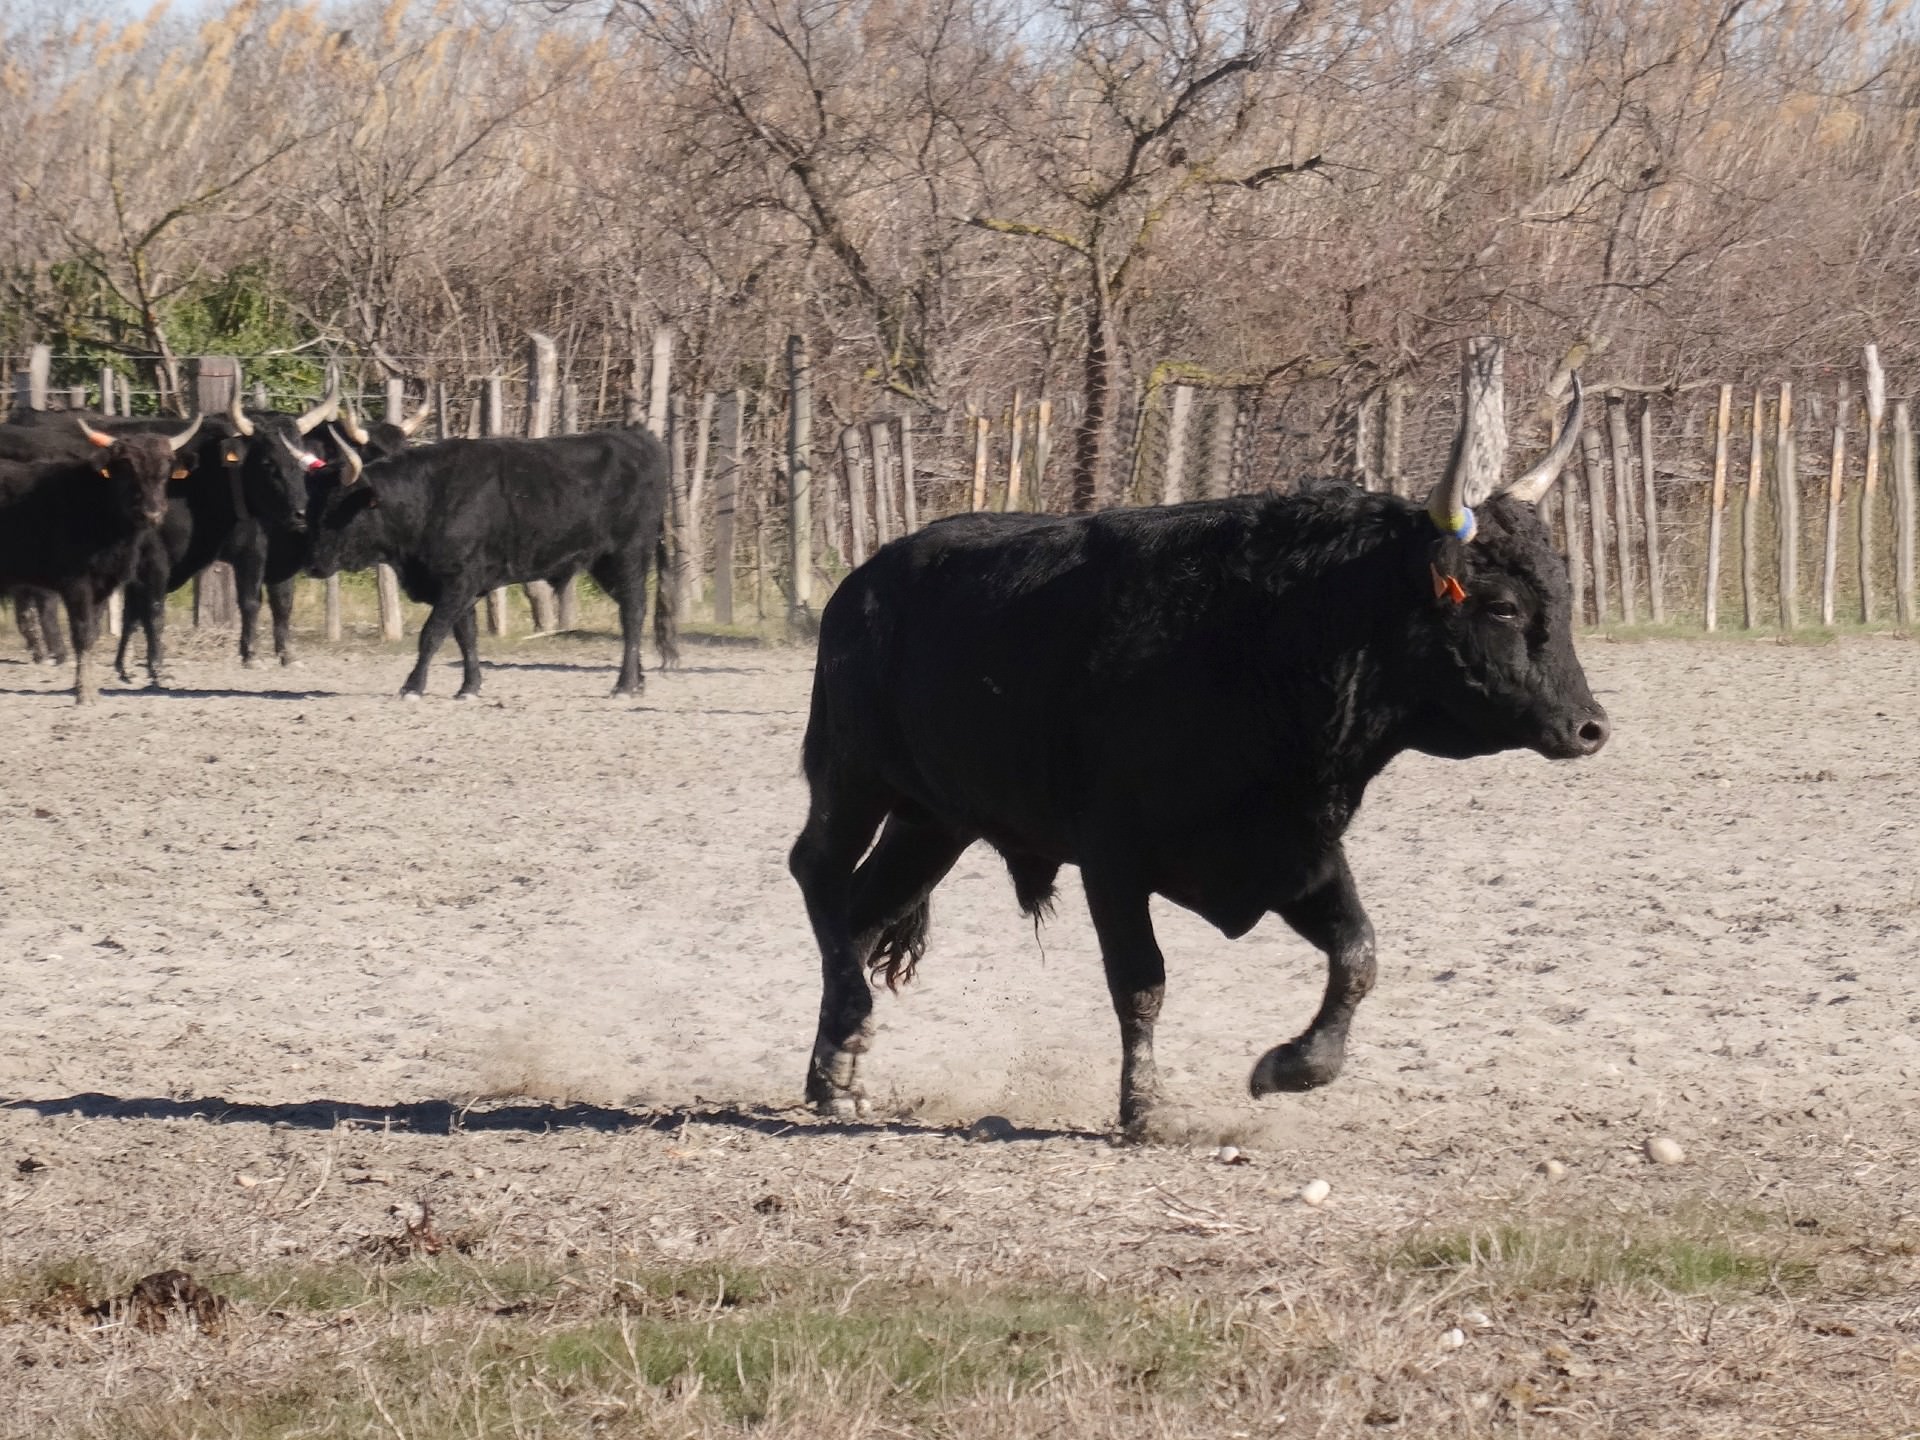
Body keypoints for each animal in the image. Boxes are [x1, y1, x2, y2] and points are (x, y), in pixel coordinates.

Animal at [0, 416, 200, 706]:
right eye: (127, 468)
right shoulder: (77, 584)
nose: (152, 513)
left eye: (166, 469)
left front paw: (90, 688)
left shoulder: (104, 585)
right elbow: (82, 634)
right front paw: (84, 693)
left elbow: (93, 633)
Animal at [307, 422, 675, 698]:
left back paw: (624, 685)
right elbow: (465, 635)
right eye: (317, 505)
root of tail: (640, 438)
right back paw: (638, 681)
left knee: (633, 613)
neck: (430, 496)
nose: (313, 564)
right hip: (605, 564)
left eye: (341, 509)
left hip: (627, 555)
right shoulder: (460, 587)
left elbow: (432, 633)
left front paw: (412, 686)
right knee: (631, 611)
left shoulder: (459, 580)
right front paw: (469, 687)